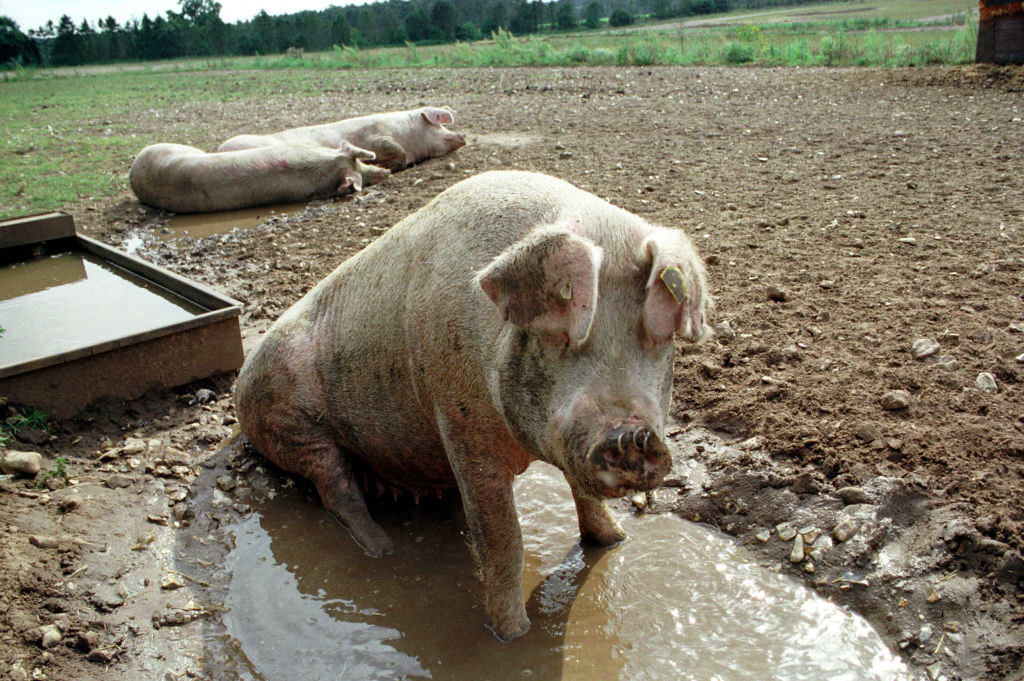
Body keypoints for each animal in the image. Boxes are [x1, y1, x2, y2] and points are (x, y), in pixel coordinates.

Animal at [235, 168, 708, 639]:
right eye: (562, 336)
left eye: (657, 336)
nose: (633, 436)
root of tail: (241, 381)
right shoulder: (459, 424)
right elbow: (502, 538)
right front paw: (513, 636)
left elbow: (586, 499)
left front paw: (618, 542)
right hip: (291, 423)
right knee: (336, 489)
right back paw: (382, 548)